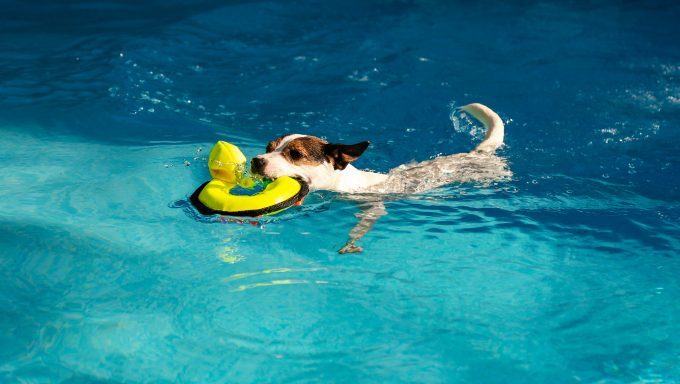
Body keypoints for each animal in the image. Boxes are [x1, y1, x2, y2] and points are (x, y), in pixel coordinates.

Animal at [251, 103, 510, 252]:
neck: (347, 184)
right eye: (268, 147)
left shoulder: (373, 206)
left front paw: (350, 242)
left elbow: (361, 226)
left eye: (295, 154)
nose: (256, 160)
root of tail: (479, 152)